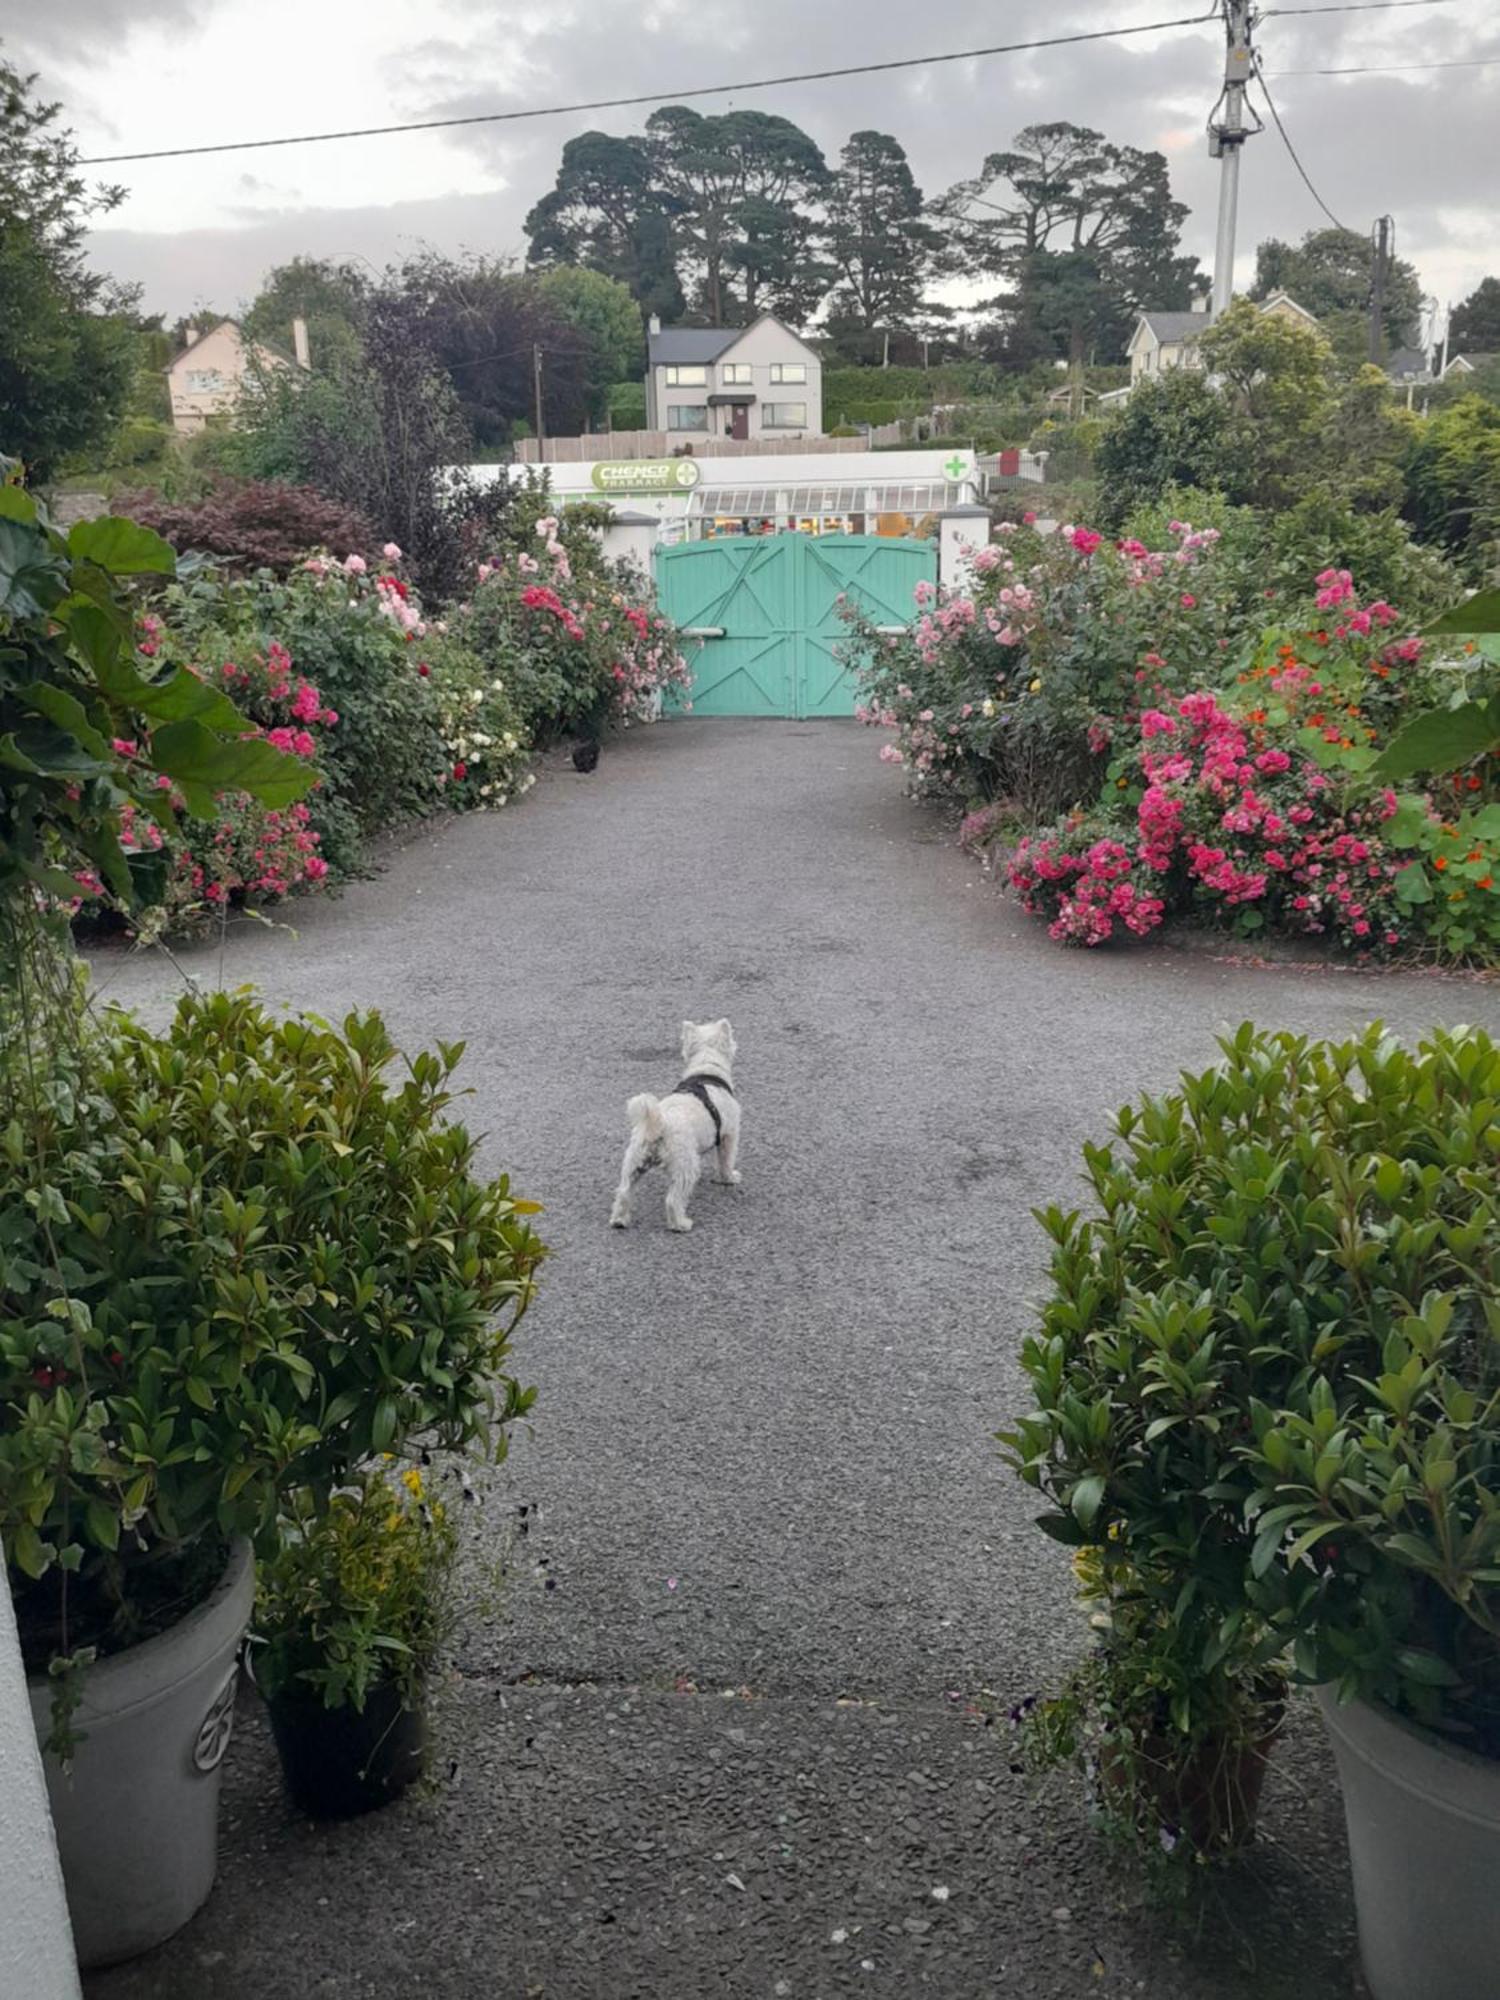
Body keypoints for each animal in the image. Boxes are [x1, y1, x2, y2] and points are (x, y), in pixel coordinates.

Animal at [608, 1016, 744, 1232]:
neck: (706, 1068)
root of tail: (657, 1125)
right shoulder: (729, 1135)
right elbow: (726, 1160)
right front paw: (729, 1178)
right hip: (684, 1165)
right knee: (673, 1199)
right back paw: (681, 1224)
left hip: (634, 1161)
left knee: (623, 1193)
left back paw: (619, 1220)